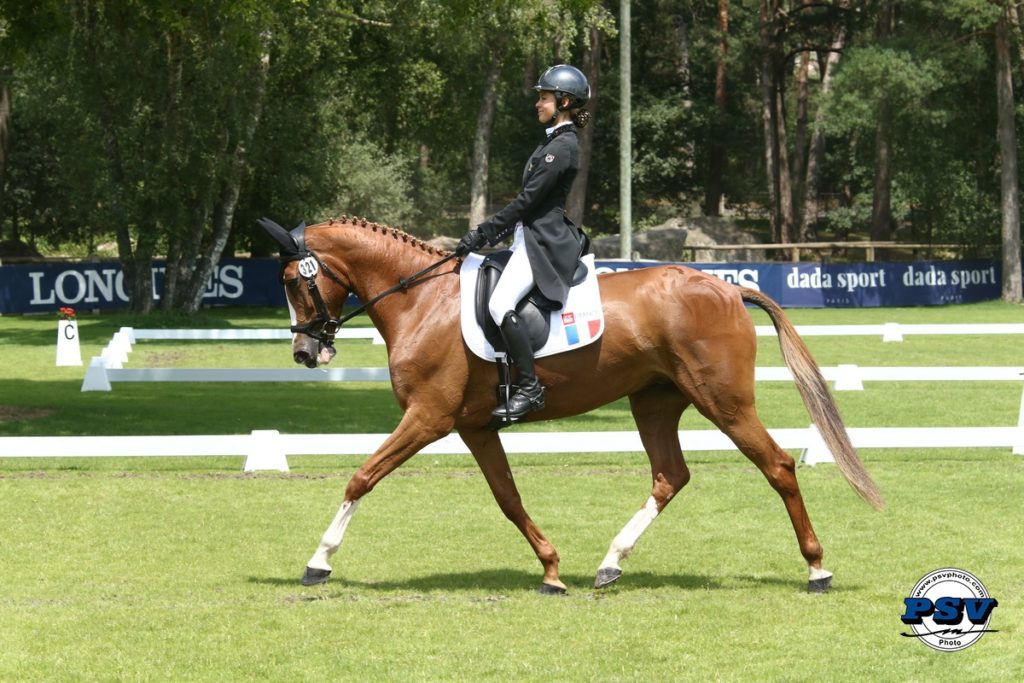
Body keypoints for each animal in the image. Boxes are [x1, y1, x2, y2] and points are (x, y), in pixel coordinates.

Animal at [256, 218, 880, 593]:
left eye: (292, 279)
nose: (305, 352)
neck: (421, 301)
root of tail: (728, 287)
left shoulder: (428, 418)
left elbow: (362, 477)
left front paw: (319, 561)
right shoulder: (474, 428)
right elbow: (508, 499)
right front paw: (552, 570)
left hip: (723, 402)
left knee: (777, 465)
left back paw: (817, 568)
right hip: (654, 403)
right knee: (669, 476)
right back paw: (610, 562)